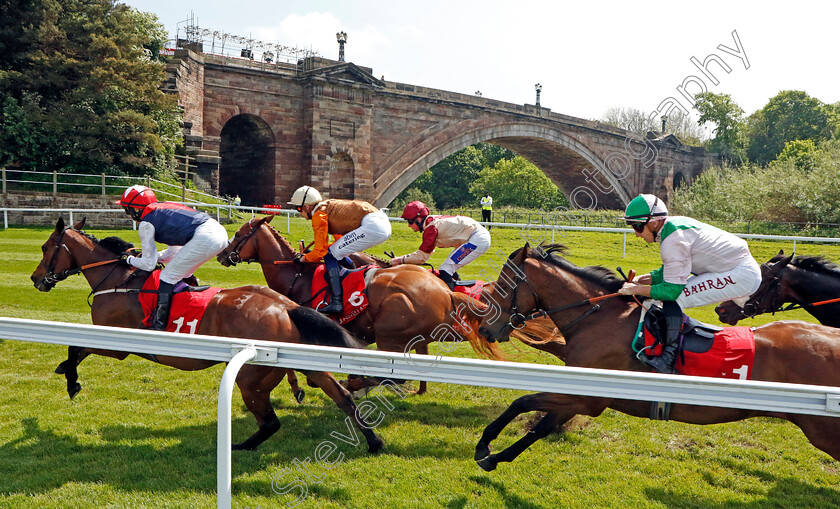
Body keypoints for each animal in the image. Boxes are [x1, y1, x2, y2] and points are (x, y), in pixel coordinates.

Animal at [29, 216, 384, 450]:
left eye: (46, 247)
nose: (35, 278)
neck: (117, 280)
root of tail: (285, 307)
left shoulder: (117, 343)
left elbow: (75, 347)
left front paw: (71, 380)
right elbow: (75, 350)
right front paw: (66, 372)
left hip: (251, 378)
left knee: (271, 421)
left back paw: (239, 447)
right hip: (302, 359)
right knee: (340, 395)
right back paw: (373, 441)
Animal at [218, 214, 506, 392]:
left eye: (239, 234)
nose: (222, 255)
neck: (298, 277)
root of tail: (445, 293)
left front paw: (302, 387)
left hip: (390, 335)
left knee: (392, 375)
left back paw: (356, 384)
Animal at [472, 244, 840, 470]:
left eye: (502, 284)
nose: (488, 328)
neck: (598, 317)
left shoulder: (589, 397)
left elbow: (523, 401)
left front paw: (484, 445)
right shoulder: (583, 395)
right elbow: (540, 426)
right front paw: (493, 457)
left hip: (824, 431)